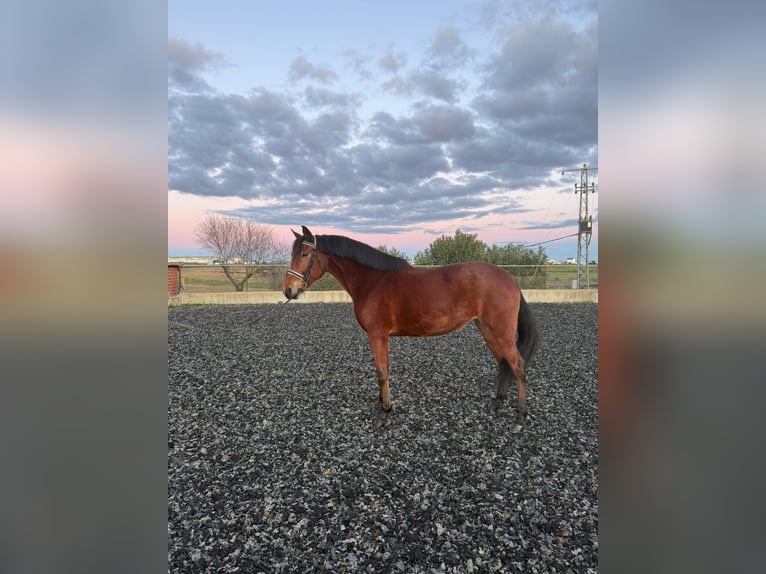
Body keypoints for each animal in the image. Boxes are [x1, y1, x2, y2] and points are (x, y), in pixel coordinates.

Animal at [282, 226, 539, 432]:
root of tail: (509, 278)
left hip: (501, 331)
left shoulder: (378, 335)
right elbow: (383, 370)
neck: (372, 281)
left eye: (305, 254)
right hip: (486, 328)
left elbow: (382, 372)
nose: (288, 290)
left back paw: (520, 418)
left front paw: (384, 412)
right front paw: (382, 407)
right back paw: (497, 404)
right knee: (503, 363)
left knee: (518, 366)